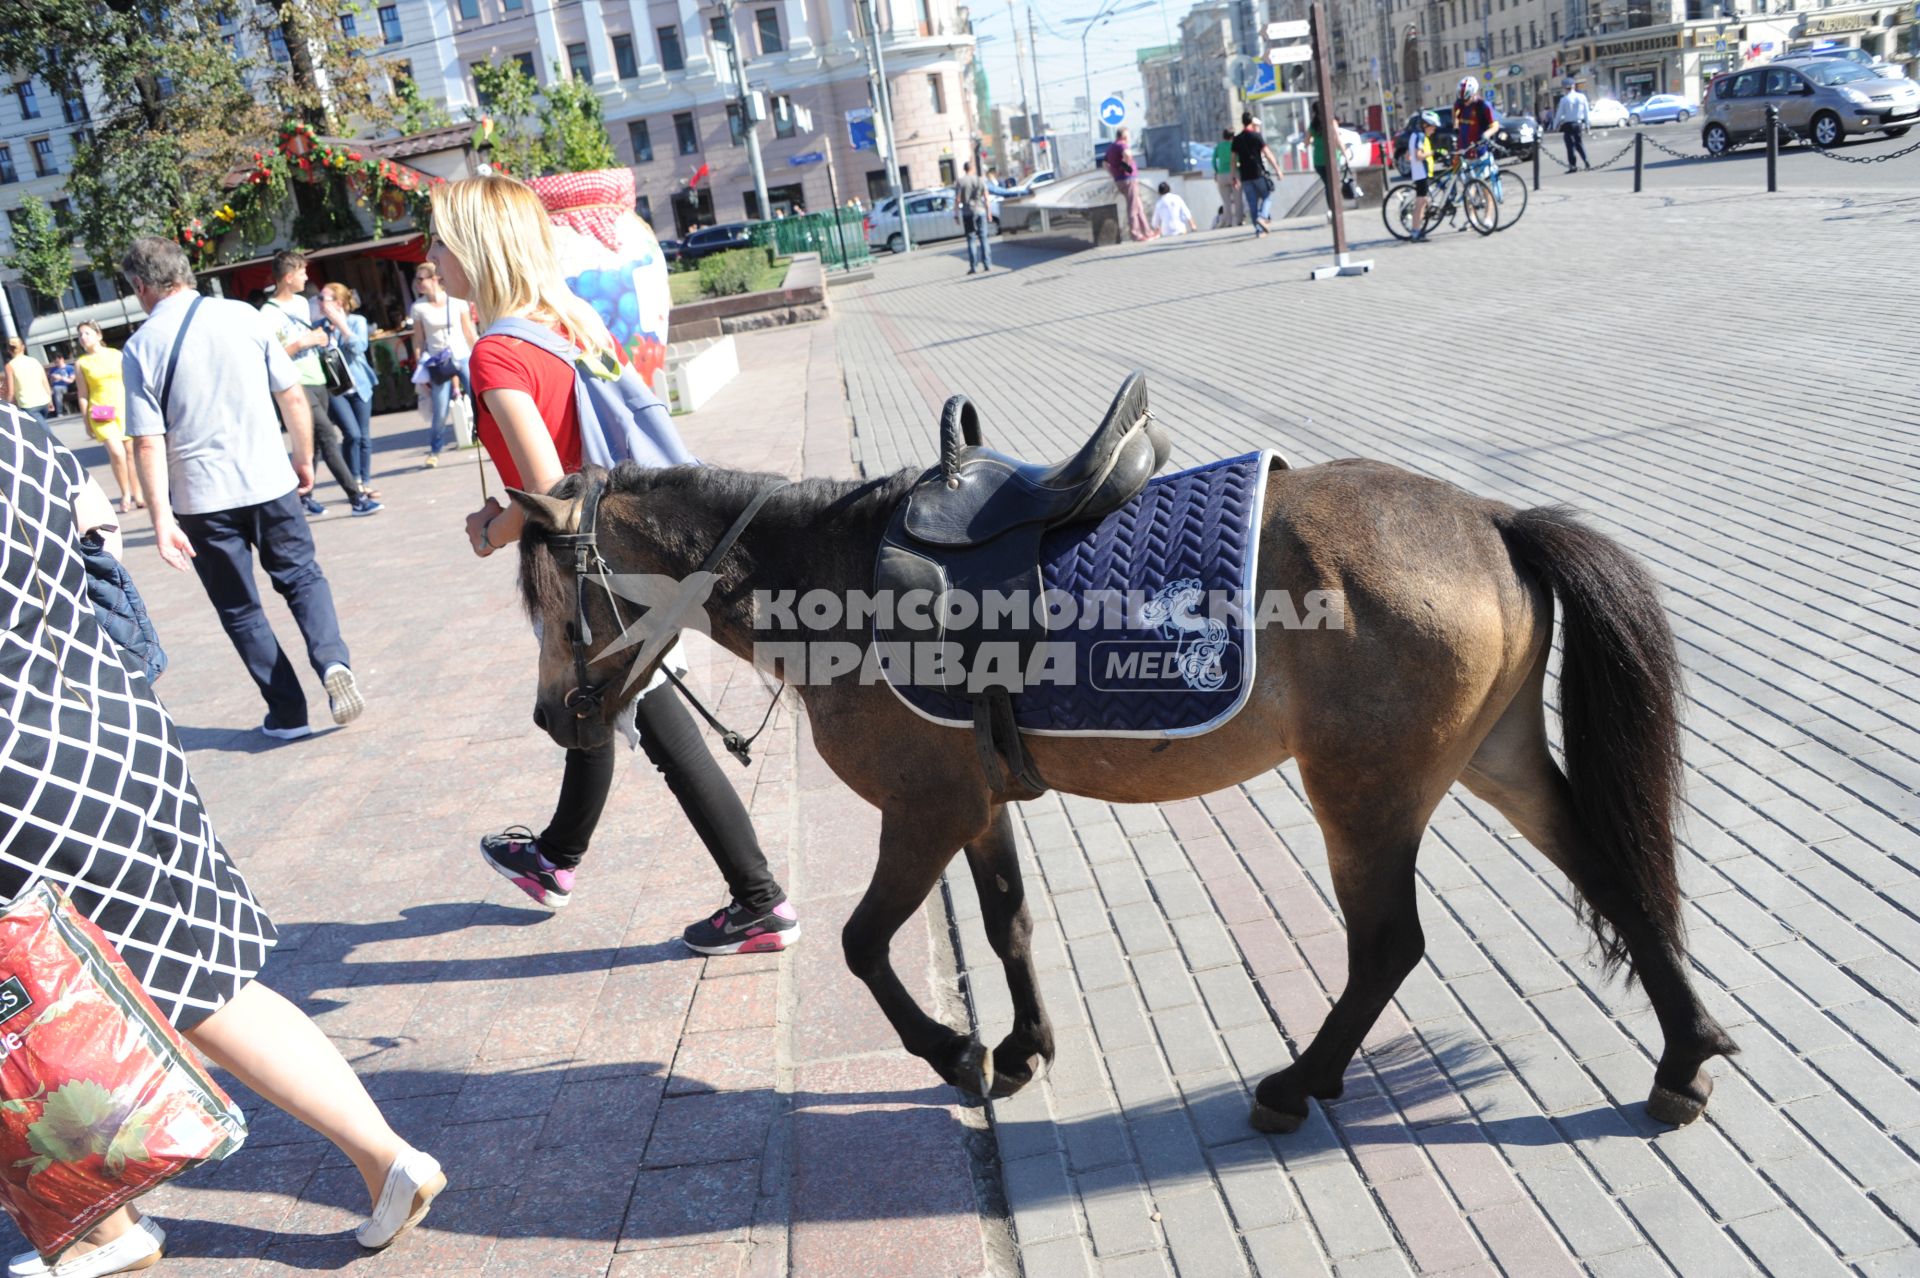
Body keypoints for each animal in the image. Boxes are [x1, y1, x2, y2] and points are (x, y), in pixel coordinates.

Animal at [510, 452, 1743, 1128]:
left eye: (547, 600)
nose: (552, 719)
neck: (839, 574)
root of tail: (1492, 521)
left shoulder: (921, 814)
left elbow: (862, 945)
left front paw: (956, 1054)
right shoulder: (976, 807)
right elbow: (1007, 922)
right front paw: (1021, 1045)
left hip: (1365, 796)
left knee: (1389, 945)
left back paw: (1298, 1082)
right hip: (1494, 761)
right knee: (1615, 873)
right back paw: (1684, 1056)